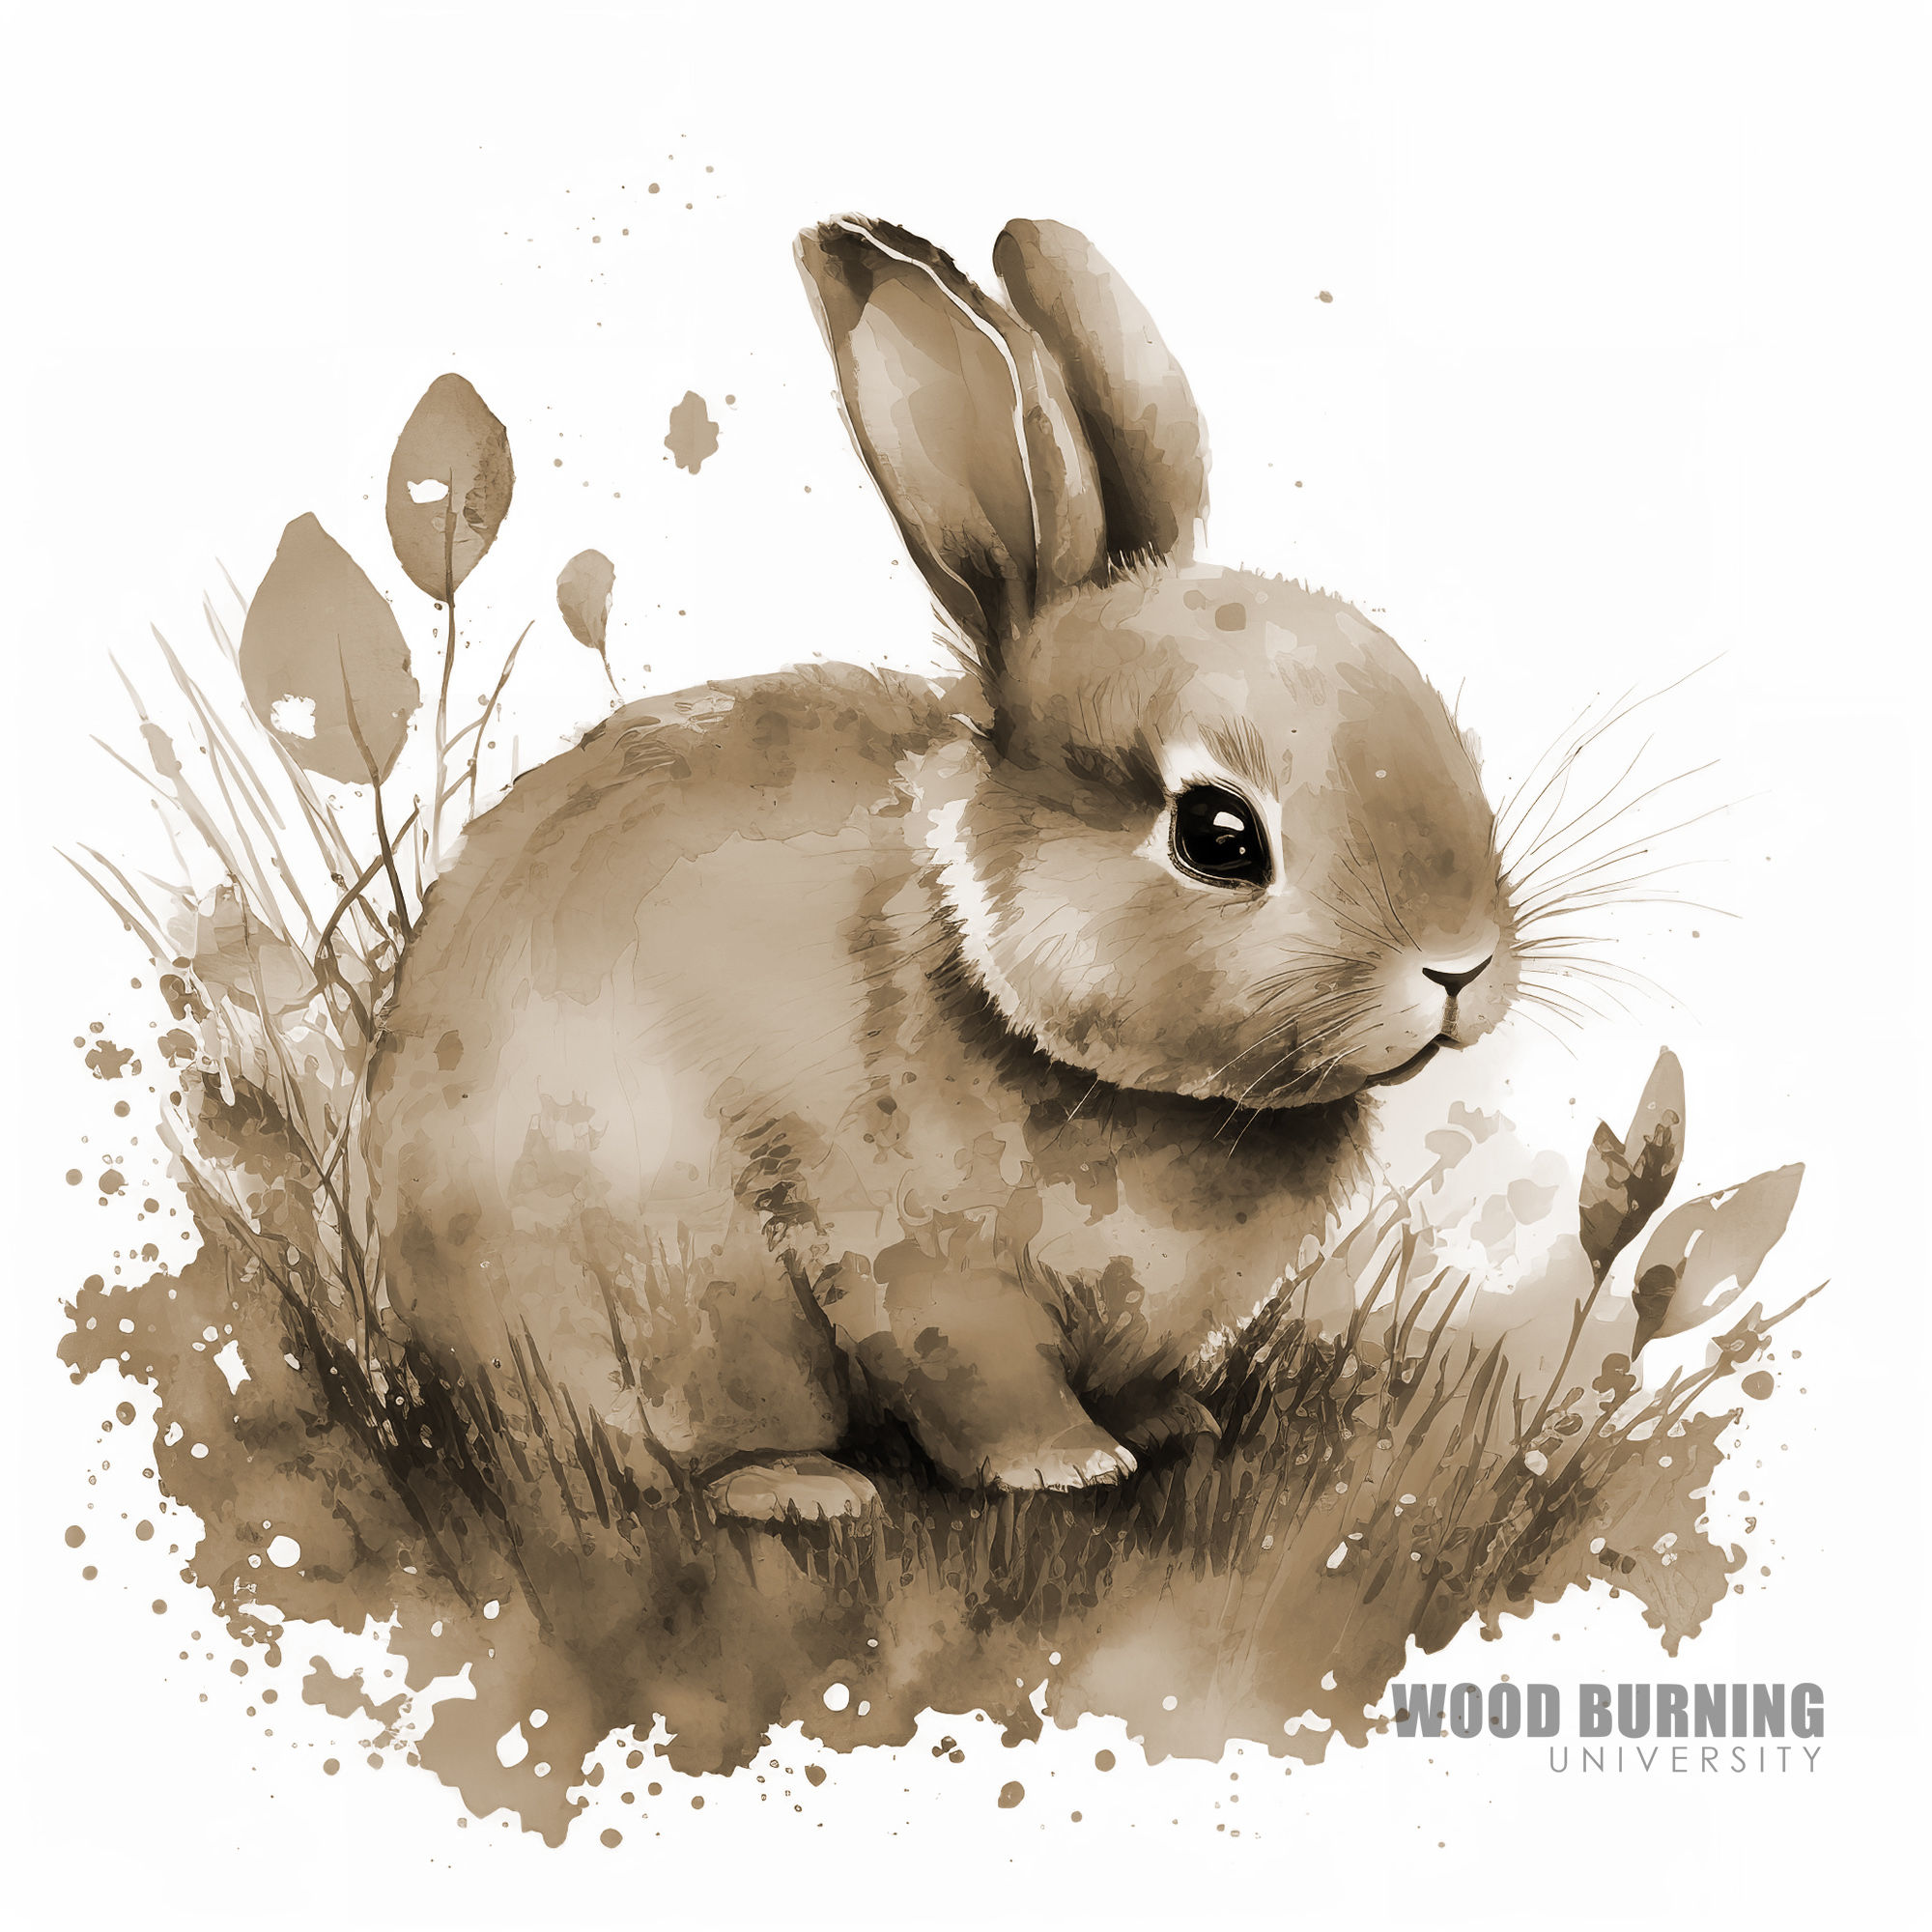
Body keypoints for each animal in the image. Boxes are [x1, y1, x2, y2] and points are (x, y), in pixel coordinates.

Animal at [365, 214, 1519, 1525]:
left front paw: (1175, 1423)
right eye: (1217, 837)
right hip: (680, 1319)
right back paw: (805, 1485)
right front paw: (1066, 1464)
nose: (1460, 964)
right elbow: (979, 1376)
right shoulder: (912, 1262)